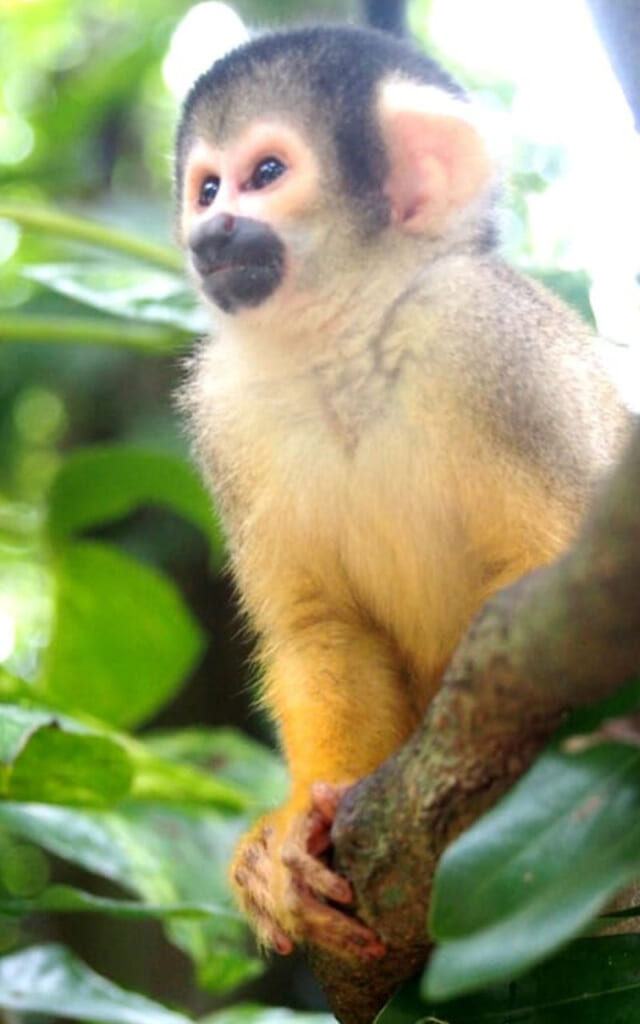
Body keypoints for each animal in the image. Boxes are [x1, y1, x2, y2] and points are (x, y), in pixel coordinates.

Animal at [174, 24, 631, 961]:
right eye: (205, 187)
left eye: (264, 174)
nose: (209, 231)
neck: (349, 339)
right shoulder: (224, 417)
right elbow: (323, 630)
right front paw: (292, 838)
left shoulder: (488, 343)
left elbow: (551, 596)